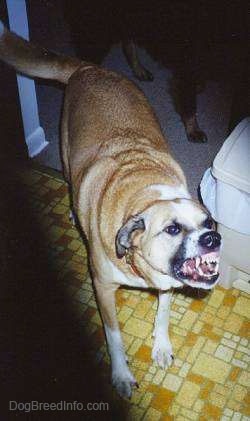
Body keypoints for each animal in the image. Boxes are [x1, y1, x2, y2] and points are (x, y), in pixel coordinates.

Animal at [0, 21, 221, 398]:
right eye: (173, 229)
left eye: (209, 222)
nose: (213, 240)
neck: (144, 195)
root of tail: (90, 68)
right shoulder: (102, 287)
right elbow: (113, 336)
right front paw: (120, 375)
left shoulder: (165, 283)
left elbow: (163, 312)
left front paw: (161, 347)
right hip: (66, 153)